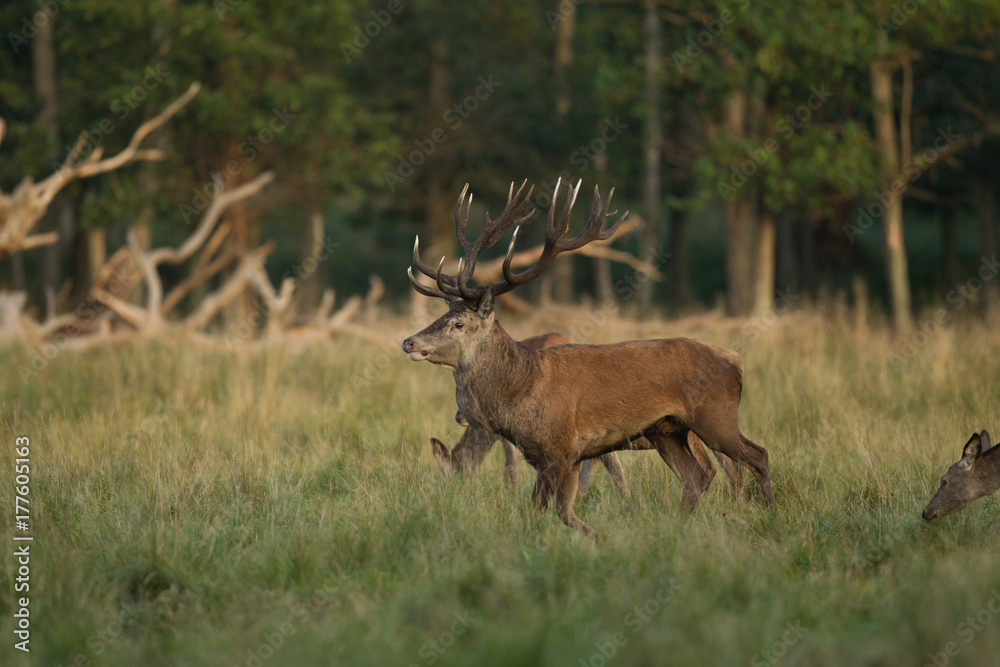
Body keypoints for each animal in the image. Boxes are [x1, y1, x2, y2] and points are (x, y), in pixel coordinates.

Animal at [401, 179, 773, 536]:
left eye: (458, 323)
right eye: (442, 316)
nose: (408, 341)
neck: (519, 391)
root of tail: (735, 361)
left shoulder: (558, 449)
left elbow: (539, 511)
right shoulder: (564, 455)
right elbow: (567, 511)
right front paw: (599, 538)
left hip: (715, 418)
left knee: (757, 456)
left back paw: (771, 513)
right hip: (667, 431)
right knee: (696, 477)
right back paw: (677, 528)